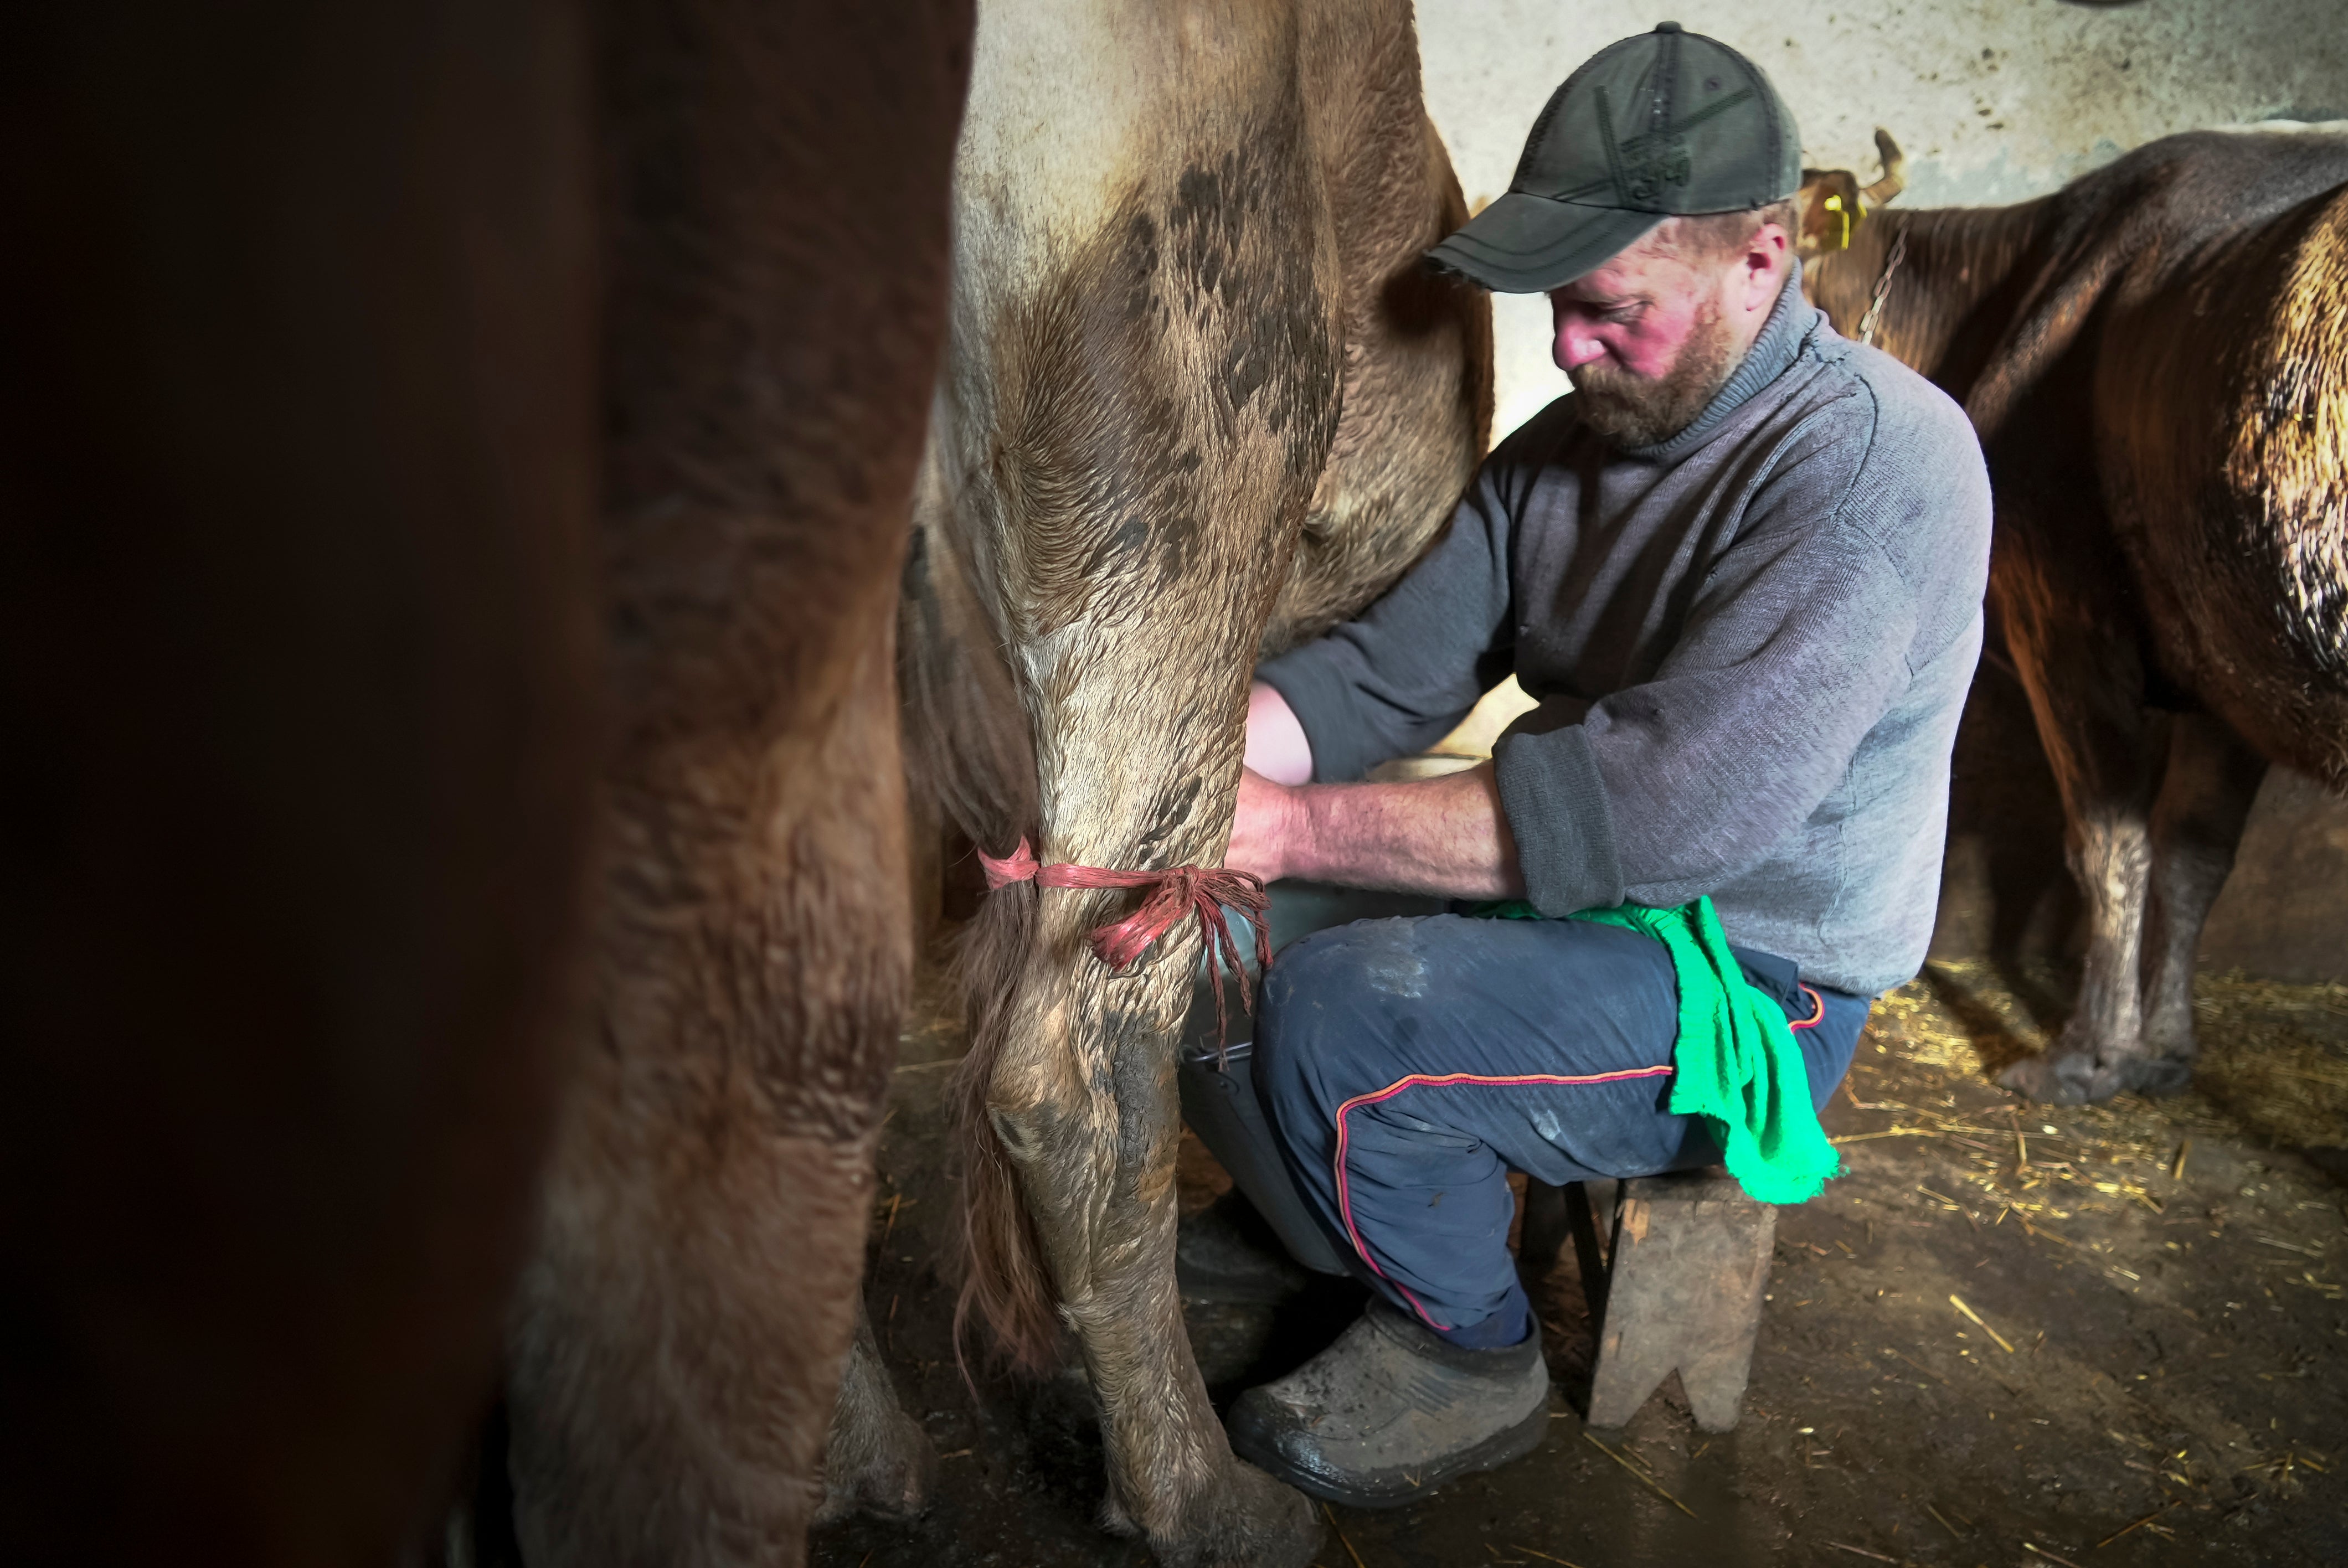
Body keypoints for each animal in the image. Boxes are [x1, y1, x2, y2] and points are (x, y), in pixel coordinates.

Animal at [1803, 122, 2339, 1103]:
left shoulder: (2062, 613)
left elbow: (2108, 844)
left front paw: (2089, 1053)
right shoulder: (2231, 664)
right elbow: (2197, 856)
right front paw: (2164, 1050)